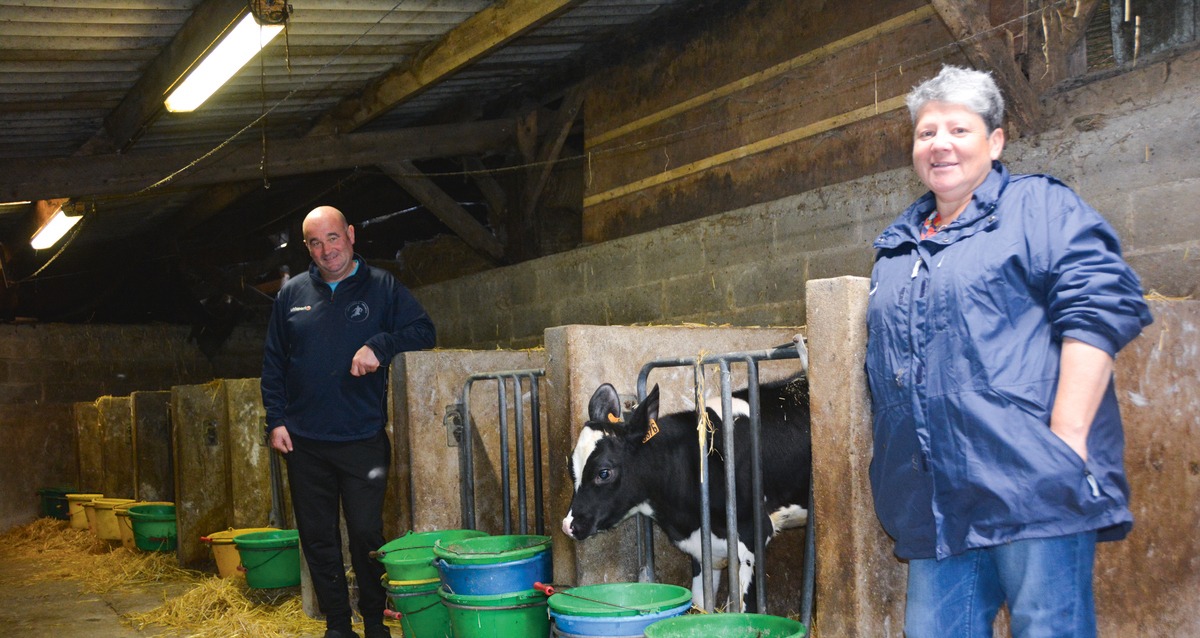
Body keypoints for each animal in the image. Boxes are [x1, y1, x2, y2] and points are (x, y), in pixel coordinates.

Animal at [559, 376, 806, 611]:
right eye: (571, 469)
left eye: (604, 473)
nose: (568, 525)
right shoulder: (704, 547)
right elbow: (701, 603)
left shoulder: (754, 532)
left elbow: (745, 608)